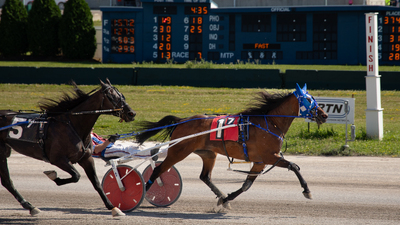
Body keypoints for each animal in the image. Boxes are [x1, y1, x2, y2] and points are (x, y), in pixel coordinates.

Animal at [0, 79, 136, 216]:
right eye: (112, 96)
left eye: (122, 95)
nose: (132, 113)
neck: (73, 126)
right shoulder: (58, 159)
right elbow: (76, 176)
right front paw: (54, 176)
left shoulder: (86, 158)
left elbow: (96, 183)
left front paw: (112, 207)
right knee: (7, 181)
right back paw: (30, 206)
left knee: (7, 182)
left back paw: (30, 206)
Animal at [135, 84, 328, 209]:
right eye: (308, 99)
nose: (324, 115)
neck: (270, 123)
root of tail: (182, 121)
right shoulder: (270, 156)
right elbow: (294, 166)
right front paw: (307, 190)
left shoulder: (260, 161)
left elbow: (246, 185)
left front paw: (226, 199)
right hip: (178, 151)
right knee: (158, 170)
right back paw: (142, 193)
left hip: (208, 154)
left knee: (205, 176)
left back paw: (221, 195)